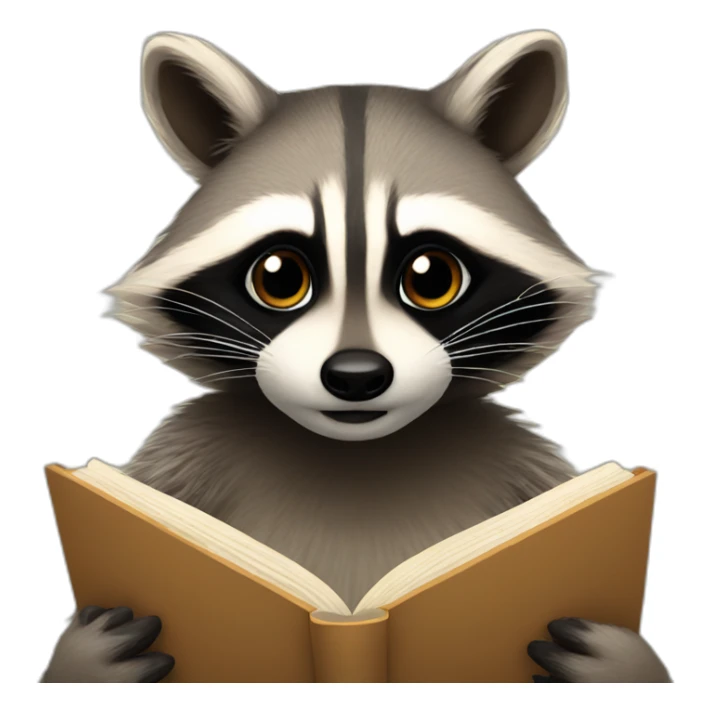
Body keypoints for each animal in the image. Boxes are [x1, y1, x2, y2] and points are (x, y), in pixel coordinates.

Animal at [42, 31, 671, 683]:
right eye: (279, 276)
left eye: (431, 276)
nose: (356, 375)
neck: (357, 455)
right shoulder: (190, 452)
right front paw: (82, 655)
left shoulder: (518, 467)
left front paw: (625, 656)